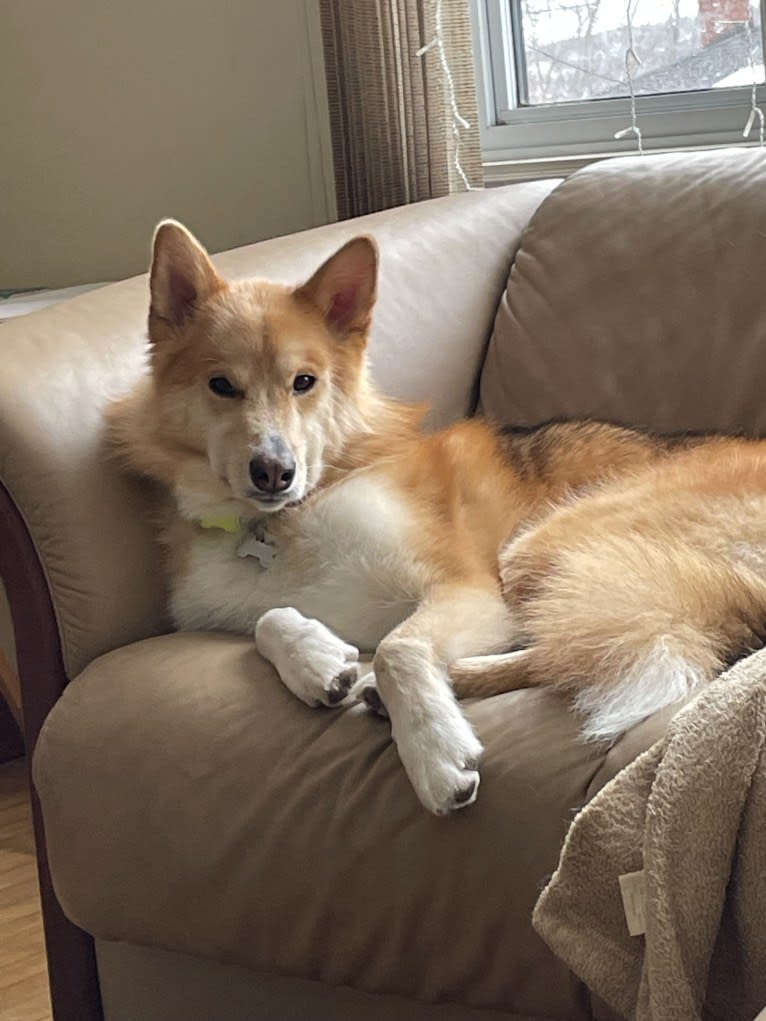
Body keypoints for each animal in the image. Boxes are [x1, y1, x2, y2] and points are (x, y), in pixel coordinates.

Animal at [109, 221, 766, 812]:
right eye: (222, 385)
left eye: (304, 383)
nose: (274, 472)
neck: (291, 514)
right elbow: (268, 619)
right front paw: (316, 660)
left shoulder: (469, 590)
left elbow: (397, 648)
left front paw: (432, 754)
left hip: (545, 544)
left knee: (581, 646)